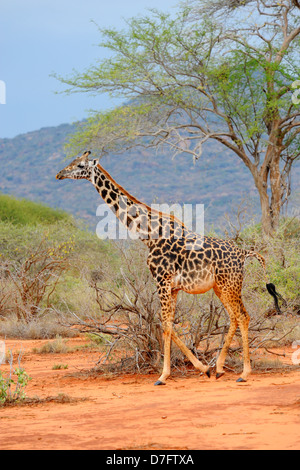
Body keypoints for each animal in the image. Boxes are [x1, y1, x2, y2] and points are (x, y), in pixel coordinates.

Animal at [55, 152, 282, 384]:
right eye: (72, 161)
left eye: (80, 165)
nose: (59, 174)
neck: (148, 234)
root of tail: (244, 254)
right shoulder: (172, 287)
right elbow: (170, 324)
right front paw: (204, 368)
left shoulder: (161, 280)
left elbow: (164, 325)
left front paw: (163, 375)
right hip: (221, 287)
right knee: (234, 317)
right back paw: (218, 368)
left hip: (230, 285)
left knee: (243, 316)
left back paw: (244, 373)